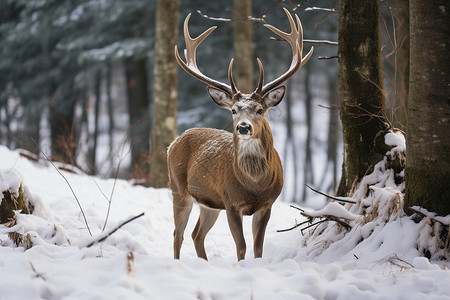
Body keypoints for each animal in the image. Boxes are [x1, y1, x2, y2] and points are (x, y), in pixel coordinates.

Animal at [169, 7, 312, 260]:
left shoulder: (266, 204)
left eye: (260, 110)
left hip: (209, 203)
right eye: (234, 110)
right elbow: (242, 246)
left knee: (197, 234)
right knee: (178, 234)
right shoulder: (231, 202)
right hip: (178, 188)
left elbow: (258, 247)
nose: (243, 127)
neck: (254, 185)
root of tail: (173, 142)